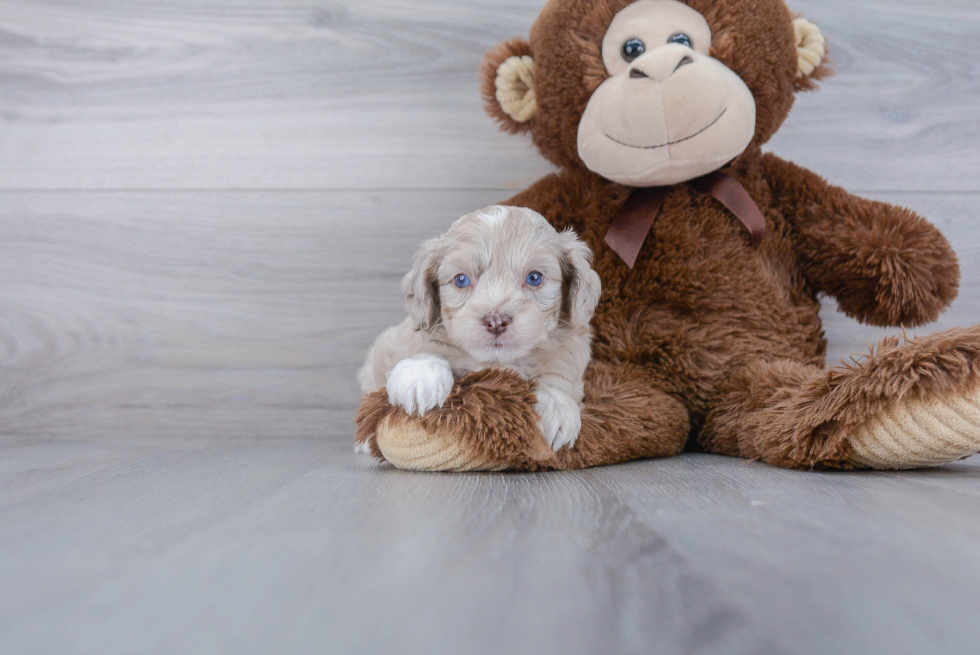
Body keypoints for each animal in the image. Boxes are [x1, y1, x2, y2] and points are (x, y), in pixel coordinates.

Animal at [358, 205, 596, 452]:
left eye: (534, 277)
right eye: (461, 280)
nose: (496, 321)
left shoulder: (573, 343)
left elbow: (561, 369)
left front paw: (554, 406)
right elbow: (423, 346)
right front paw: (420, 375)